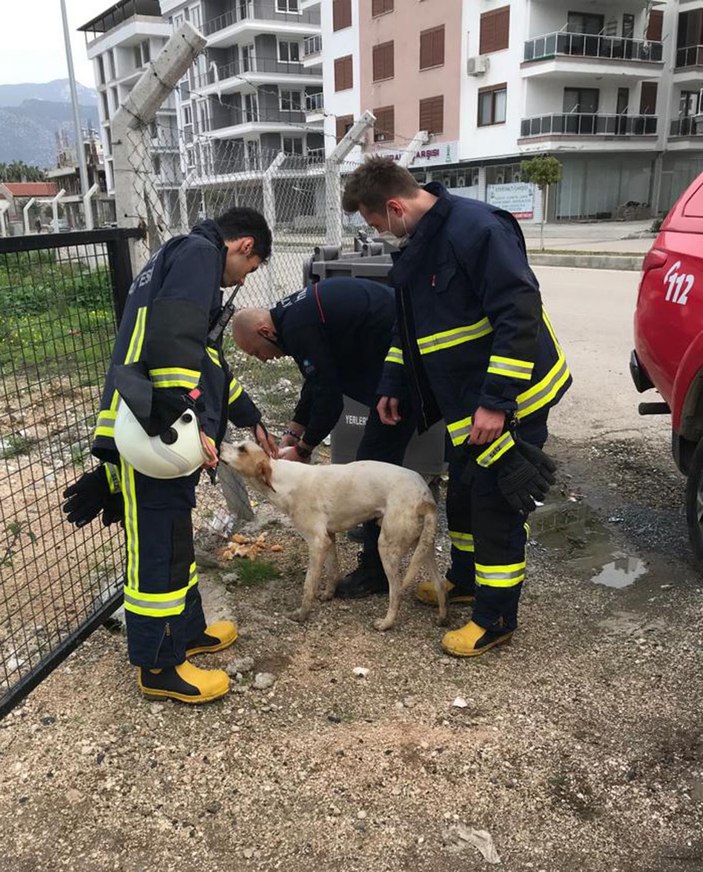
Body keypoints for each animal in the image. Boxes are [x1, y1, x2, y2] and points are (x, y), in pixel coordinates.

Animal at [223, 440, 448, 632]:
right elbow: (333, 570)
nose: (219, 445)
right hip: (423, 547)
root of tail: (424, 496)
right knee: (439, 583)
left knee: (396, 592)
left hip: (387, 546)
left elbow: (309, 584)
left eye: (242, 449)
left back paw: (386, 623)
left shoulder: (317, 542)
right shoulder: (328, 538)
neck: (281, 480)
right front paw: (328, 595)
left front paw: (302, 614)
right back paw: (442, 617)